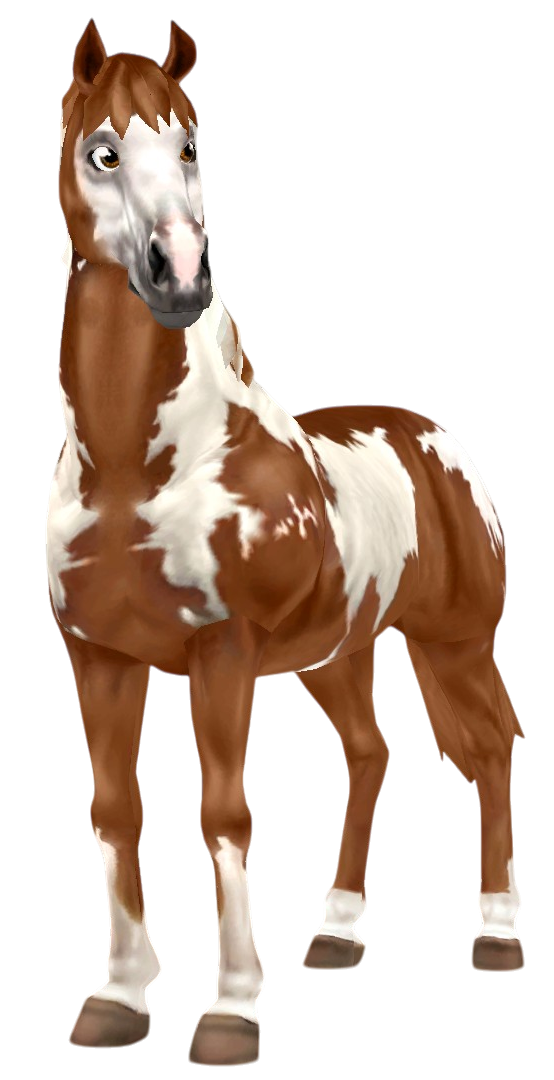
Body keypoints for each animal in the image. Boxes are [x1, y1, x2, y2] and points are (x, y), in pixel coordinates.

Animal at [48, 18, 525, 1063]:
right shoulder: (99, 656)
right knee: (371, 754)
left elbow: (224, 816)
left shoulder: (221, 653)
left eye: (191, 145)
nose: (180, 276)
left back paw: (498, 932)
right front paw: (119, 996)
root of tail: (439, 441)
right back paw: (337, 933)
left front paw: (230, 1010)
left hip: (454, 643)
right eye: (102, 151)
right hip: (332, 656)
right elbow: (115, 813)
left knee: (491, 752)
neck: (139, 465)